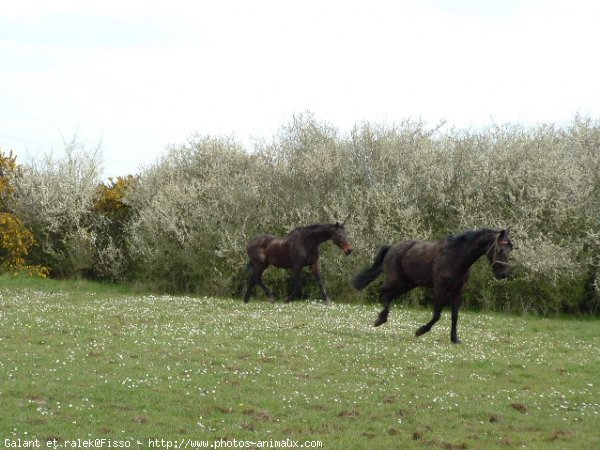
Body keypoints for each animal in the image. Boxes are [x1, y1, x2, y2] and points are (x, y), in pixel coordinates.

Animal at [354, 230, 512, 342]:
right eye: (499, 249)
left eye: (510, 249)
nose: (503, 274)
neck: (456, 257)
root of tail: (392, 247)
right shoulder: (440, 289)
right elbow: (437, 315)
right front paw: (420, 331)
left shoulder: (457, 291)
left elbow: (455, 316)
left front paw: (455, 339)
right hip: (396, 279)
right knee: (383, 291)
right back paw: (380, 319)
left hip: (408, 284)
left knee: (388, 294)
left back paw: (381, 318)